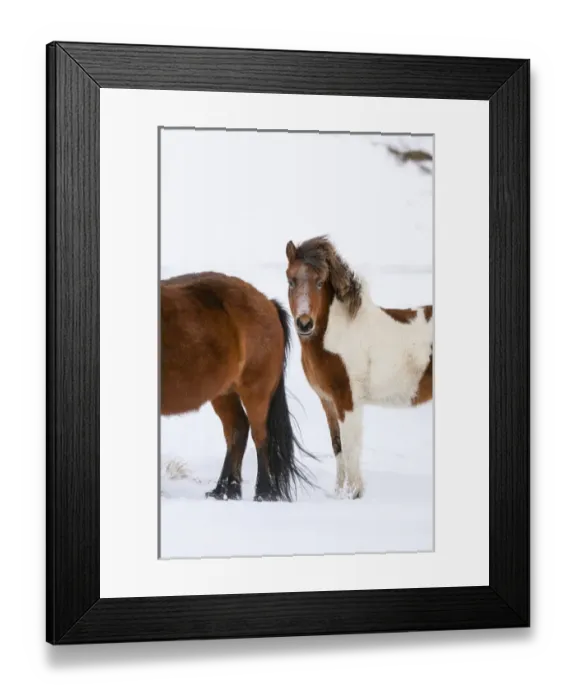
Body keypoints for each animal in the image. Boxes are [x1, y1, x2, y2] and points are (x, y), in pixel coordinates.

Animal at [160, 271, 314, 502]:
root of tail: (267, 302)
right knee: (237, 429)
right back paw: (225, 490)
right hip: (224, 393)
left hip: (255, 391)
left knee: (260, 435)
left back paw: (263, 492)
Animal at [284, 236, 433, 500]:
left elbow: (351, 446)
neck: (339, 333)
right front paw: (338, 493)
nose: (304, 324)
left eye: (320, 282)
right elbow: (338, 446)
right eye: (291, 280)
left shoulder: (348, 400)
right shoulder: (329, 402)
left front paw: (353, 493)